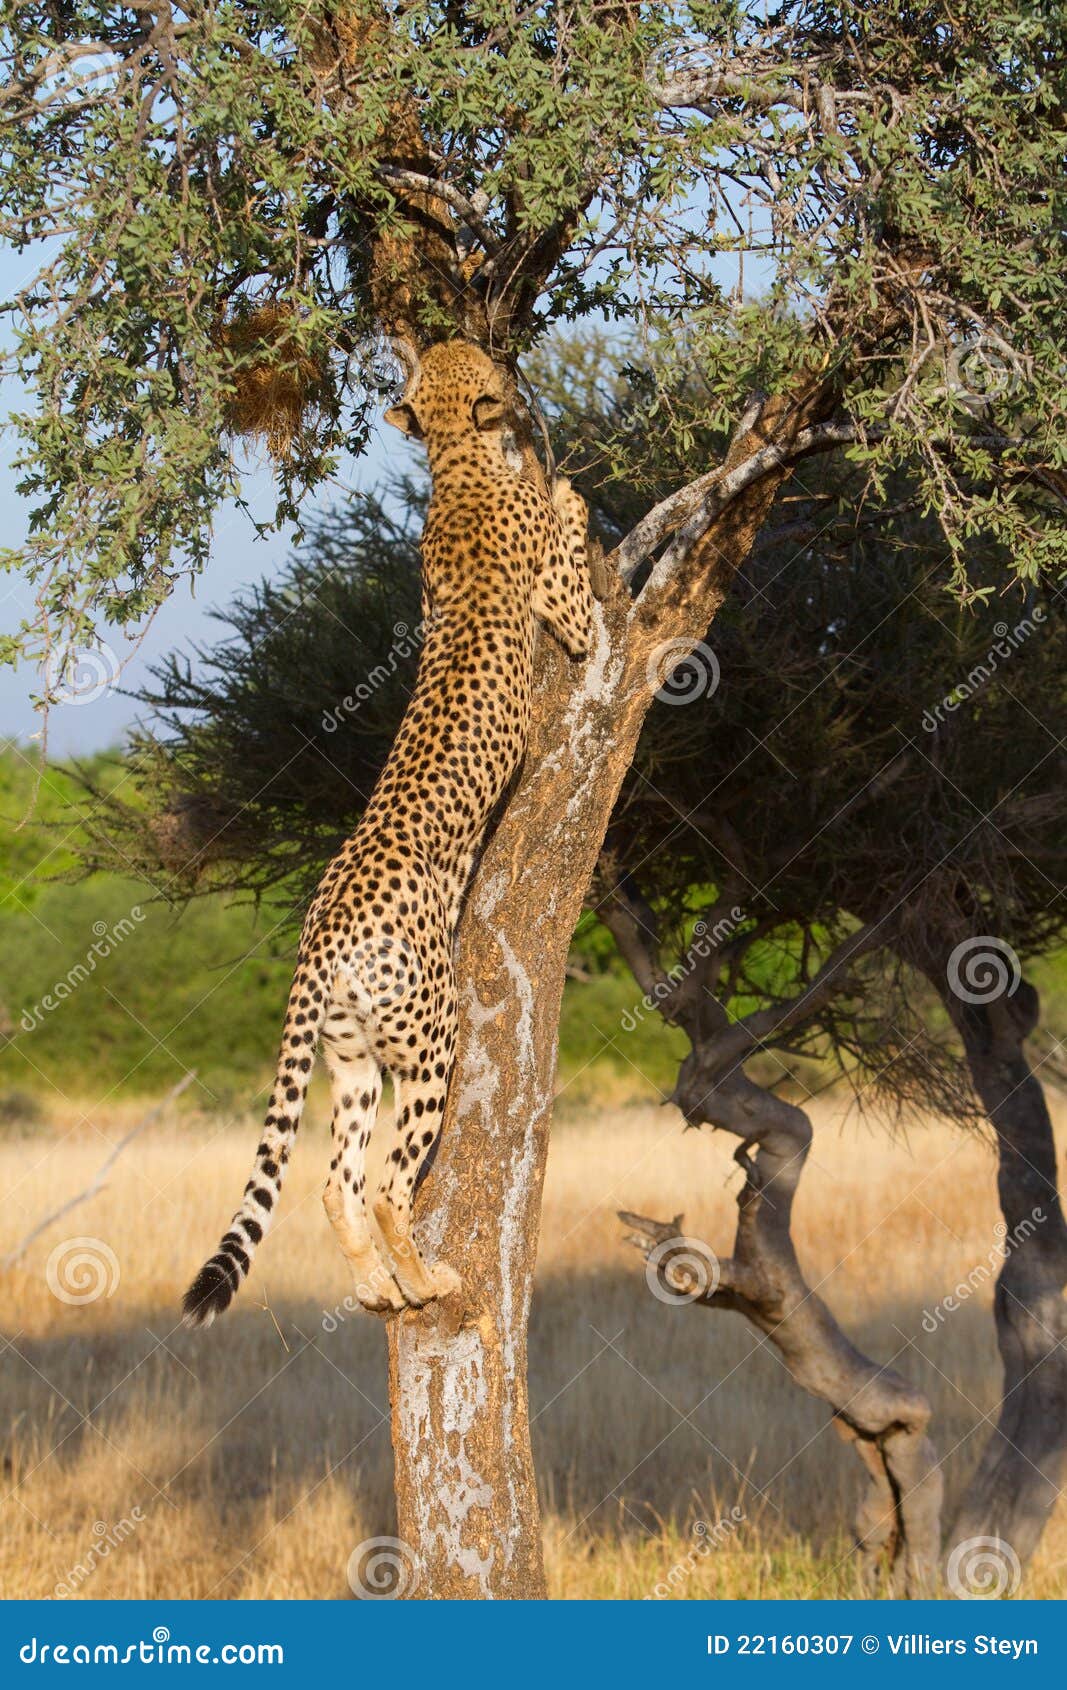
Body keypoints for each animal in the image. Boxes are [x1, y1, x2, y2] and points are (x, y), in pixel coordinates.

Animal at [183, 340, 593, 1326]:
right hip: (429, 1036)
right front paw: (571, 492)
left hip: (353, 1056)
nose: (498, 358)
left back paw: (376, 1289)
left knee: (334, 1182)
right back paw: (428, 1280)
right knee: (384, 1187)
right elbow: (574, 571)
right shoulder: (564, 608)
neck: (455, 462)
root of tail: (323, 932)